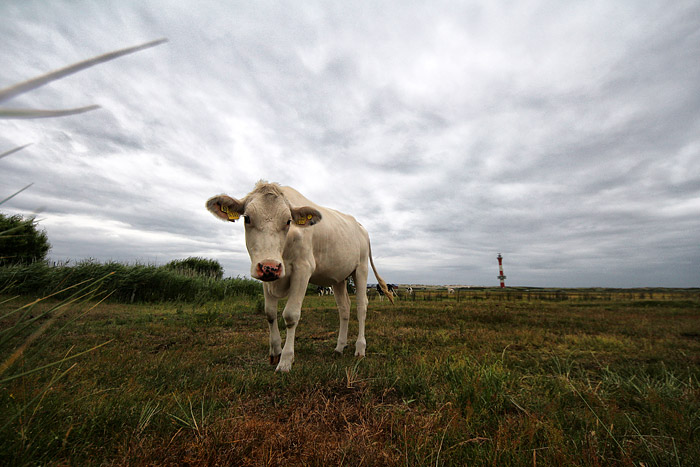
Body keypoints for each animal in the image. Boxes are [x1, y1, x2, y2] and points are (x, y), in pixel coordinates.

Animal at [206, 182, 394, 372]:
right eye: (247, 218)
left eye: (288, 221)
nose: (270, 266)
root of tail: (361, 227)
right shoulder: (266, 276)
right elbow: (270, 313)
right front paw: (275, 352)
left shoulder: (303, 269)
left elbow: (291, 315)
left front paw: (285, 361)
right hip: (339, 277)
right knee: (344, 308)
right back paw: (340, 347)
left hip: (361, 269)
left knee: (361, 306)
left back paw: (360, 348)